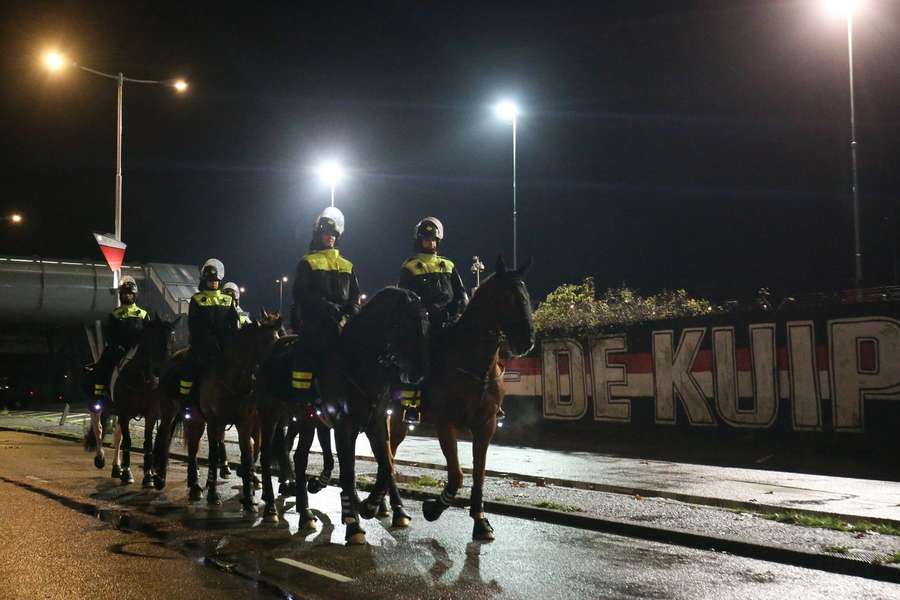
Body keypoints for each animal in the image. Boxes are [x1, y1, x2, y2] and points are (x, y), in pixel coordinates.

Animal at [85, 316, 180, 486]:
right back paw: (100, 458)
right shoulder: (124, 413)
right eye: (155, 339)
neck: (141, 377)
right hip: (95, 406)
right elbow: (128, 441)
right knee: (98, 429)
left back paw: (116, 468)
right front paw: (128, 473)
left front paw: (147, 476)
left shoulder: (150, 415)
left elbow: (147, 444)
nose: (165, 372)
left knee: (117, 436)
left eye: (173, 338)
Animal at [253, 286, 428, 544]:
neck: (358, 364)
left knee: (299, 458)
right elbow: (348, 473)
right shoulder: (343, 428)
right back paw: (271, 509)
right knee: (267, 456)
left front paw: (370, 505)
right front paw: (354, 522)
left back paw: (305, 512)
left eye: (425, 324)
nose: (419, 374)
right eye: (405, 324)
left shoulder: (376, 425)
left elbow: (386, 466)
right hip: (270, 414)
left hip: (304, 420)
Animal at [386, 255, 536, 540]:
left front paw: (480, 519)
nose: (527, 340)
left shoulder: (486, 425)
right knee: (387, 452)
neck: (475, 364)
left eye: (526, 294)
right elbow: (456, 474)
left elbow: (479, 473)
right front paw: (434, 508)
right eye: (507, 297)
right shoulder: (446, 424)